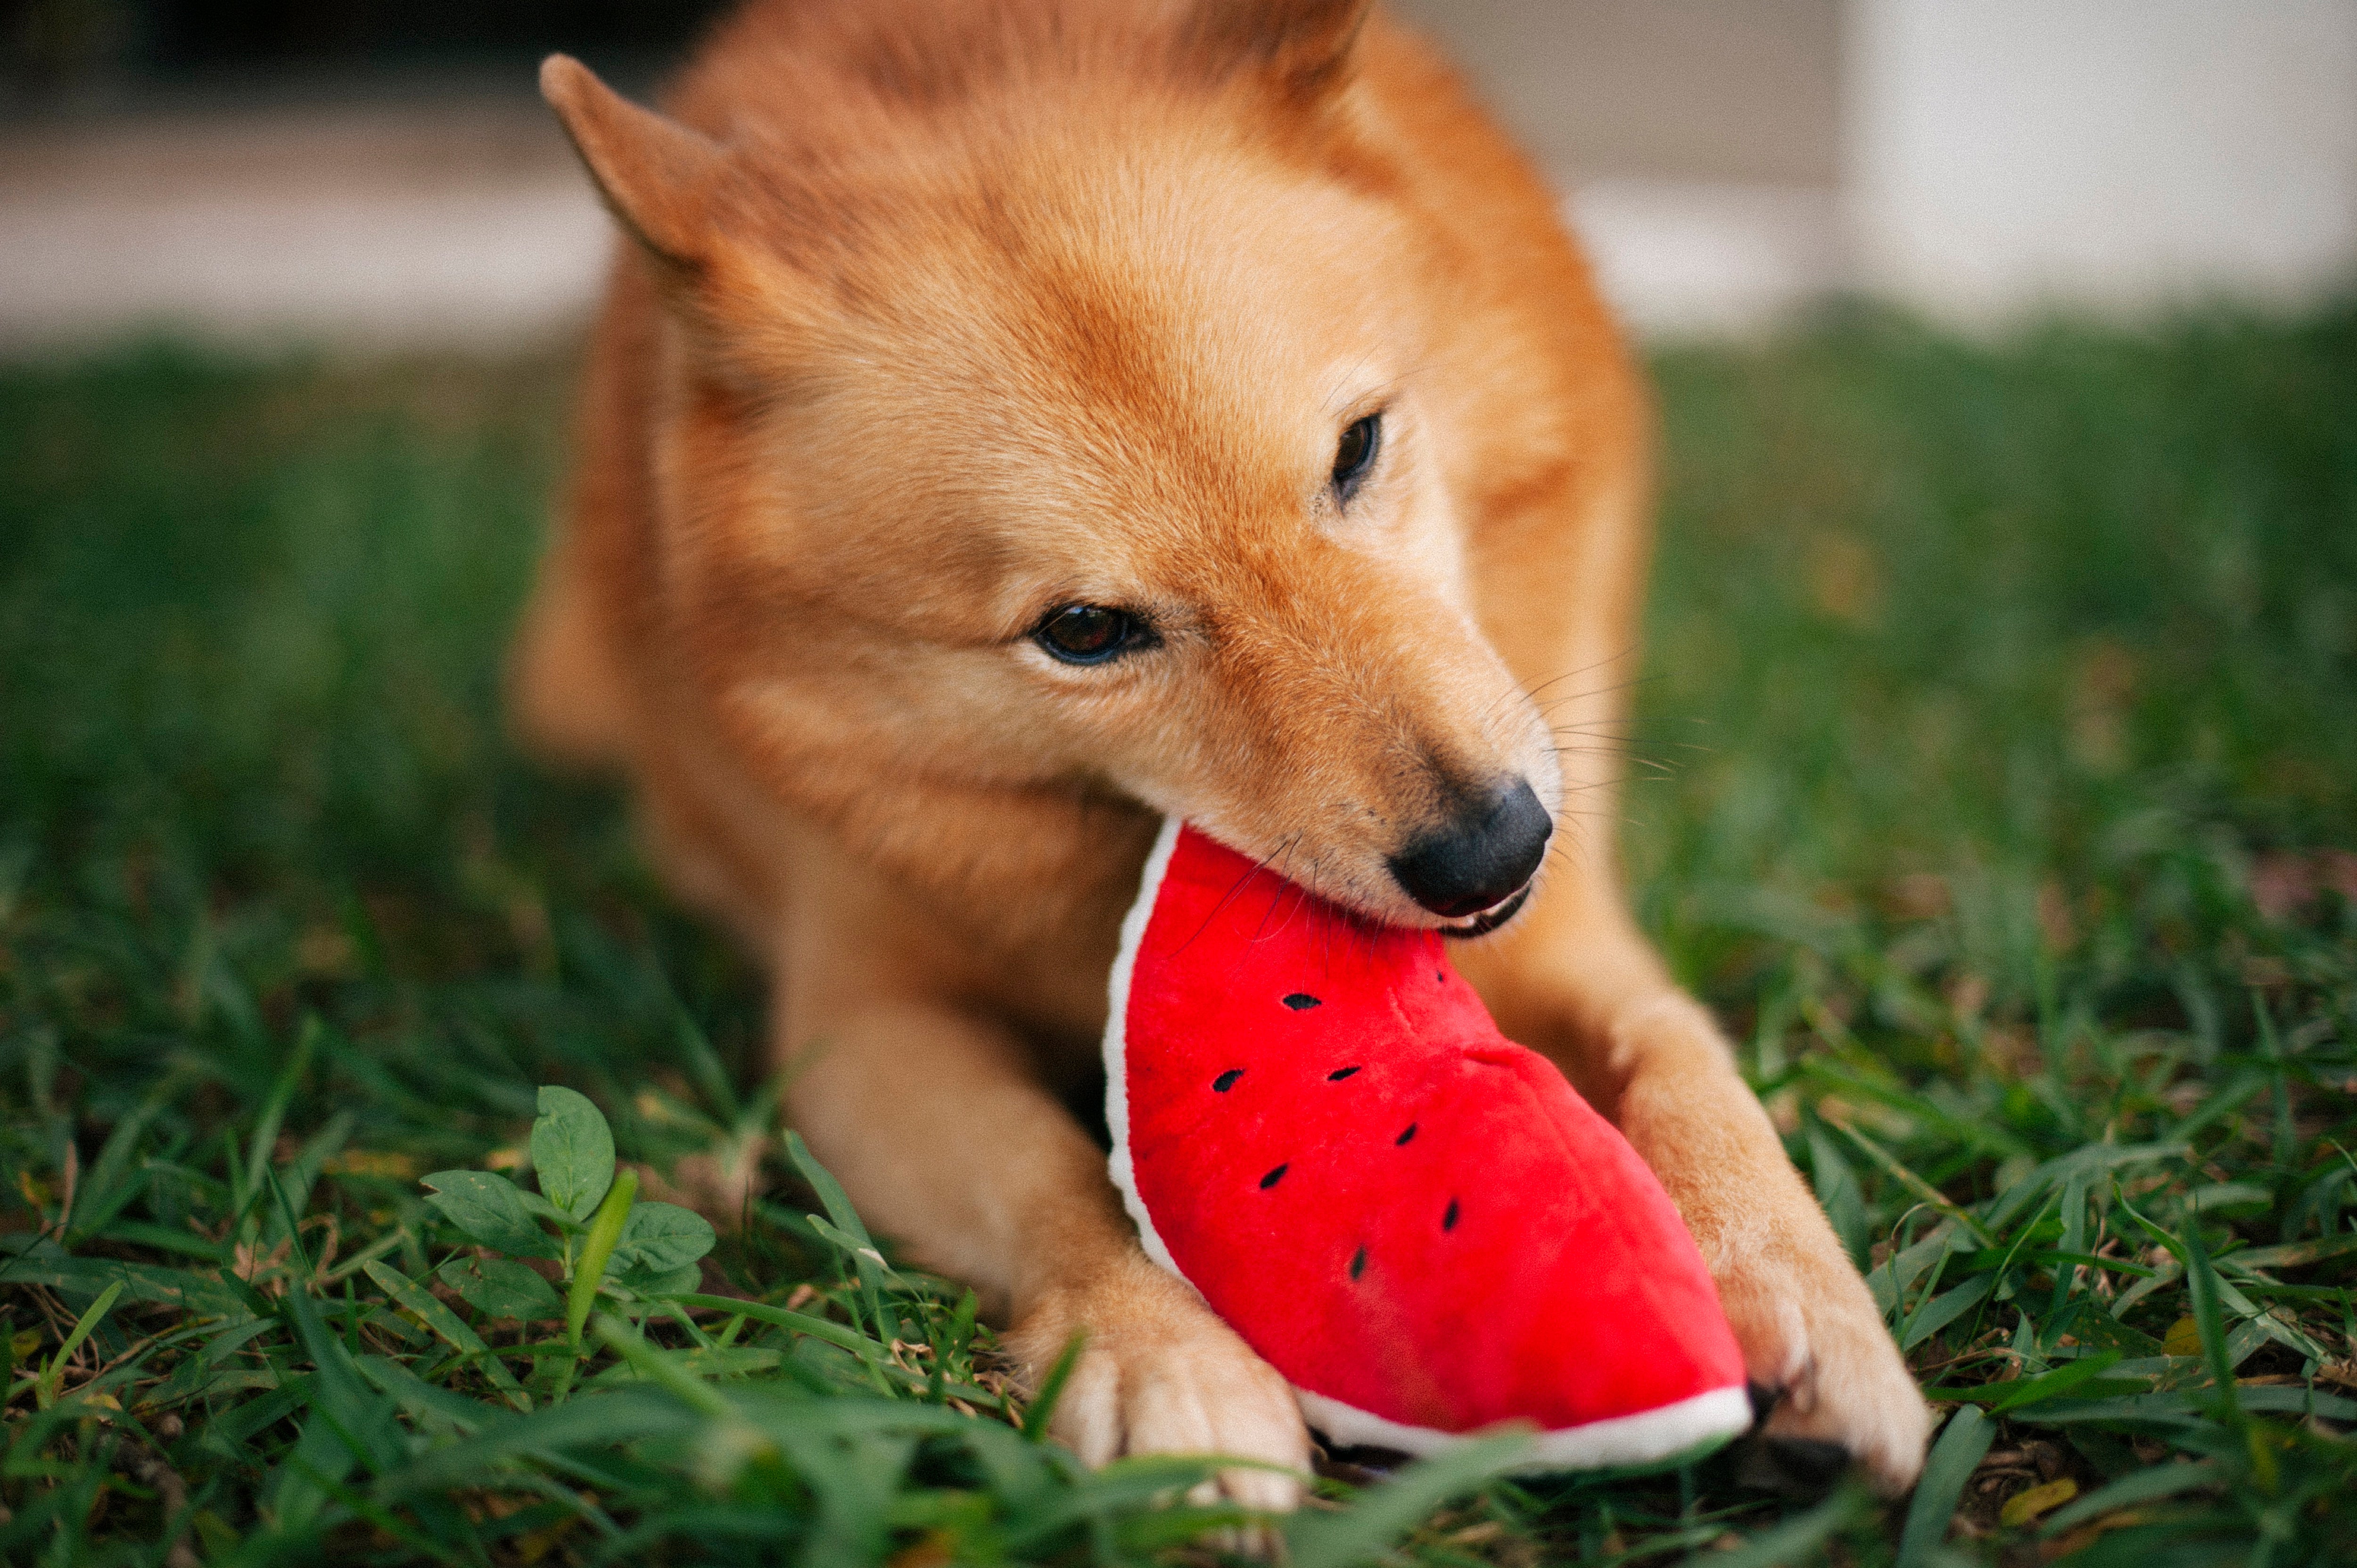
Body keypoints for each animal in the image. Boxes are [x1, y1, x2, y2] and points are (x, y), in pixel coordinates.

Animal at [511, 0, 1914, 1509]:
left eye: (1358, 448)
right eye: (1082, 631)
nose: (1491, 849)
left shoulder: (1568, 925)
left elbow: (1684, 1060)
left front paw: (1792, 1287)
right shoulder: (859, 1021)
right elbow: (1050, 1171)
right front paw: (1155, 1352)